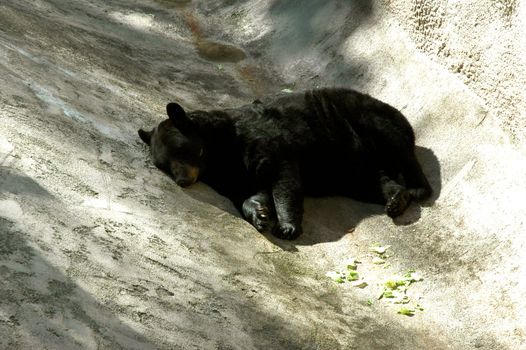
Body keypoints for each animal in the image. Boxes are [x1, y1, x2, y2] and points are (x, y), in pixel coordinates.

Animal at [139, 88, 434, 241]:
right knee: (375, 181)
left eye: (180, 151)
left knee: (398, 146)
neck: (219, 154)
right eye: (164, 165)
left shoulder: (262, 140)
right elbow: (249, 192)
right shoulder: (231, 175)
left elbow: (283, 179)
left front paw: (287, 226)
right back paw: (396, 199)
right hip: (351, 168)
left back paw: (418, 188)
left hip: (366, 121)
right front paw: (260, 215)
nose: (182, 180)